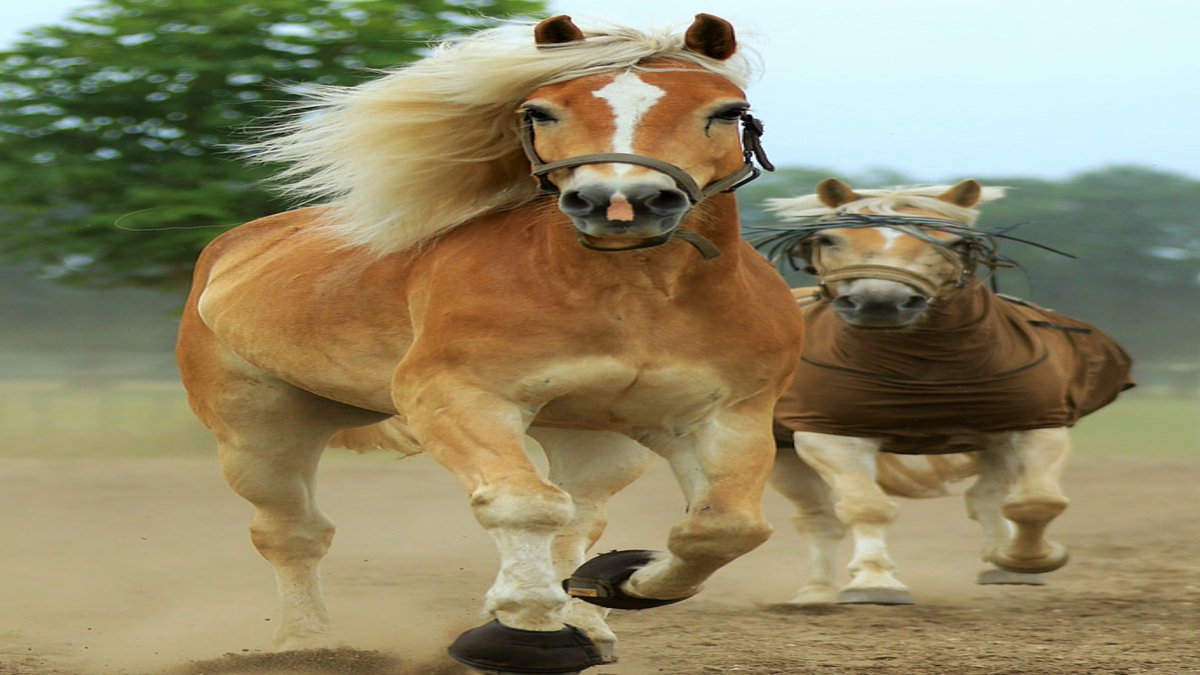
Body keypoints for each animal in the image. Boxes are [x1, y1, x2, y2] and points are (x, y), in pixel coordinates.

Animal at [175, 14, 803, 674]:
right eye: (543, 111)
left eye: (726, 111)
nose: (619, 202)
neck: (633, 300)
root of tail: (230, 250)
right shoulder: (455, 397)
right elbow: (524, 504)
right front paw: (522, 631)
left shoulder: (723, 418)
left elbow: (722, 529)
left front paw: (611, 584)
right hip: (260, 432)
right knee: (292, 532)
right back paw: (309, 643)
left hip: (597, 438)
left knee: (583, 516)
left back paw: (586, 619)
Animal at [754, 179, 1133, 606]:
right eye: (829, 239)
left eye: (955, 243)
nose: (879, 302)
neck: (930, 368)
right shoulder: (829, 435)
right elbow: (865, 507)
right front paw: (874, 582)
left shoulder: (1034, 425)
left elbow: (1036, 502)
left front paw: (1025, 560)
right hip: (785, 455)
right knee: (818, 519)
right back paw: (816, 593)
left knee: (987, 497)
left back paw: (1000, 564)